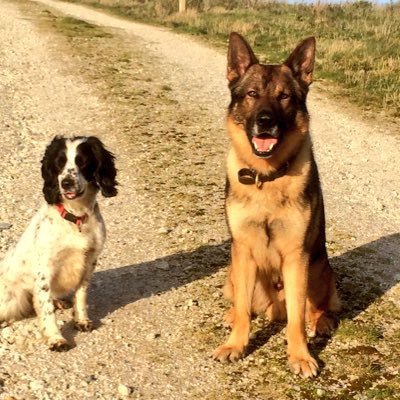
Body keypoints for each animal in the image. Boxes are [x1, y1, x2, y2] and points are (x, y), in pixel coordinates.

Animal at [0, 137, 118, 350]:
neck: (76, 217)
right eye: (59, 163)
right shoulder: (45, 270)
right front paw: (56, 338)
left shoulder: (89, 262)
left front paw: (81, 320)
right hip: (11, 298)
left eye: (82, 161)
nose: (67, 182)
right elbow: (46, 309)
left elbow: (81, 295)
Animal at [214, 33, 340, 378]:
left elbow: (296, 320)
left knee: (316, 308)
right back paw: (231, 316)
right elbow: (245, 310)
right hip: (233, 271)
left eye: (284, 97)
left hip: (319, 269)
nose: (265, 121)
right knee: (242, 303)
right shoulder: (243, 250)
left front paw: (300, 356)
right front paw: (235, 344)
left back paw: (322, 321)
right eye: (252, 94)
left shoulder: (297, 257)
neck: (267, 178)